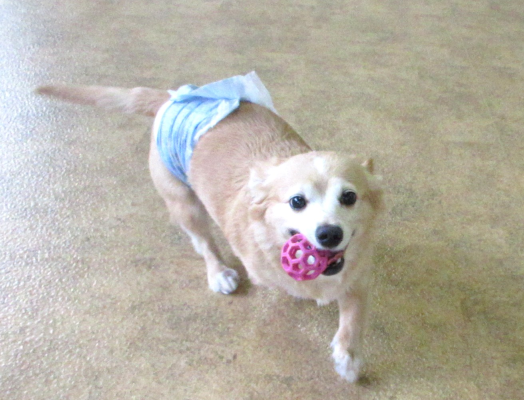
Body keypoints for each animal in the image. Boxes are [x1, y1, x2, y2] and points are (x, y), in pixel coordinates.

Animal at [36, 74, 384, 383]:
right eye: (297, 201)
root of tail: (172, 98)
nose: (330, 234)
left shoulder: (359, 276)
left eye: (349, 197)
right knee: (203, 243)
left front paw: (348, 357)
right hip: (186, 206)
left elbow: (353, 318)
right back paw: (218, 272)